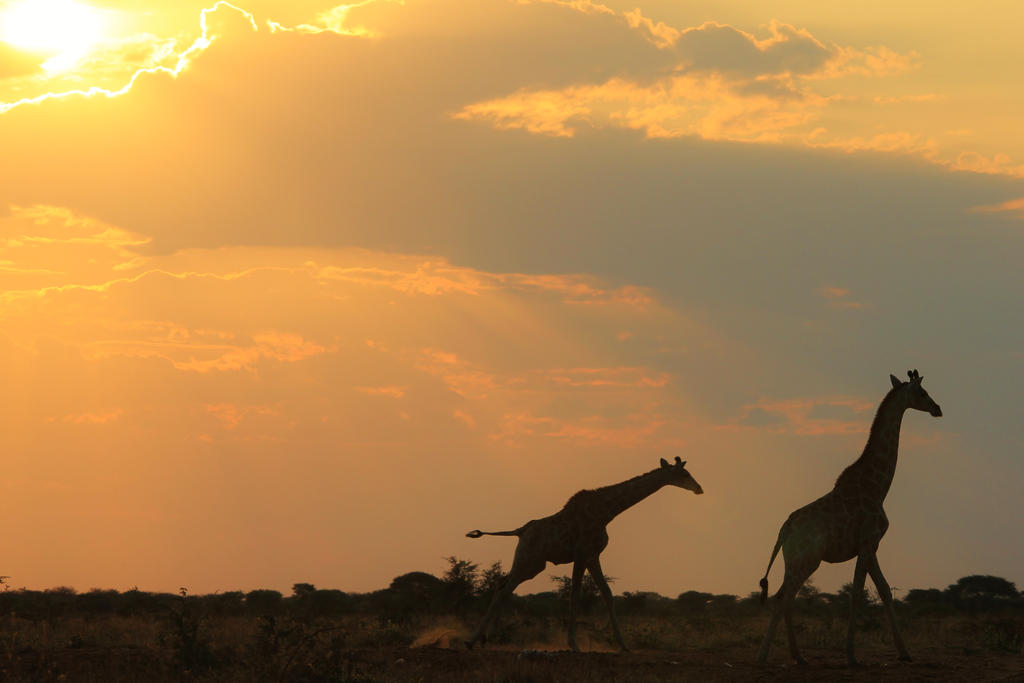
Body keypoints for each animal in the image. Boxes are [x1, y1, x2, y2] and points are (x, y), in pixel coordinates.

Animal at [466, 454, 700, 651]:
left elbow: (607, 593)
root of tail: (520, 531)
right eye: (684, 474)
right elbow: (575, 594)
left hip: (531, 563)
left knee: (501, 585)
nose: (699, 488)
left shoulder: (593, 555)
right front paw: (573, 644)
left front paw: (623, 645)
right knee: (504, 590)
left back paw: (487, 638)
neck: (606, 513)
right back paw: (472, 641)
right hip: (529, 561)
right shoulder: (581, 553)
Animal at [757, 370, 937, 663]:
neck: (878, 487)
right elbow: (857, 594)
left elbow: (885, 591)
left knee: (784, 596)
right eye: (922, 392)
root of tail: (785, 529)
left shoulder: (872, 545)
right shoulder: (866, 542)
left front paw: (905, 652)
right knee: (783, 598)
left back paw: (799, 656)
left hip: (793, 561)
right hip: (807, 560)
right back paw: (763, 656)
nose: (937, 408)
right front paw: (851, 654)